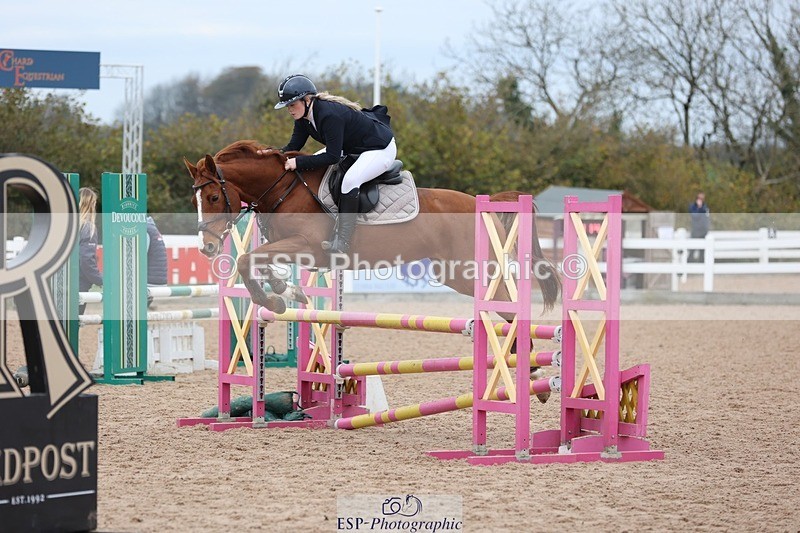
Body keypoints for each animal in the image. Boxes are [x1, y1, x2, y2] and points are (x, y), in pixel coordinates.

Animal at [184, 140, 560, 317]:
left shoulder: (308, 246)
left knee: (502, 300)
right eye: (196, 200)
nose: (206, 247)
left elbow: (246, 259)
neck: (284, 188)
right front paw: (285, 291)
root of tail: (485, 202)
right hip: (453, 273)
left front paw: (273, 301)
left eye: (214, 196)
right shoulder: (292, 249)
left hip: (466, 270)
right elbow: (257, 261)